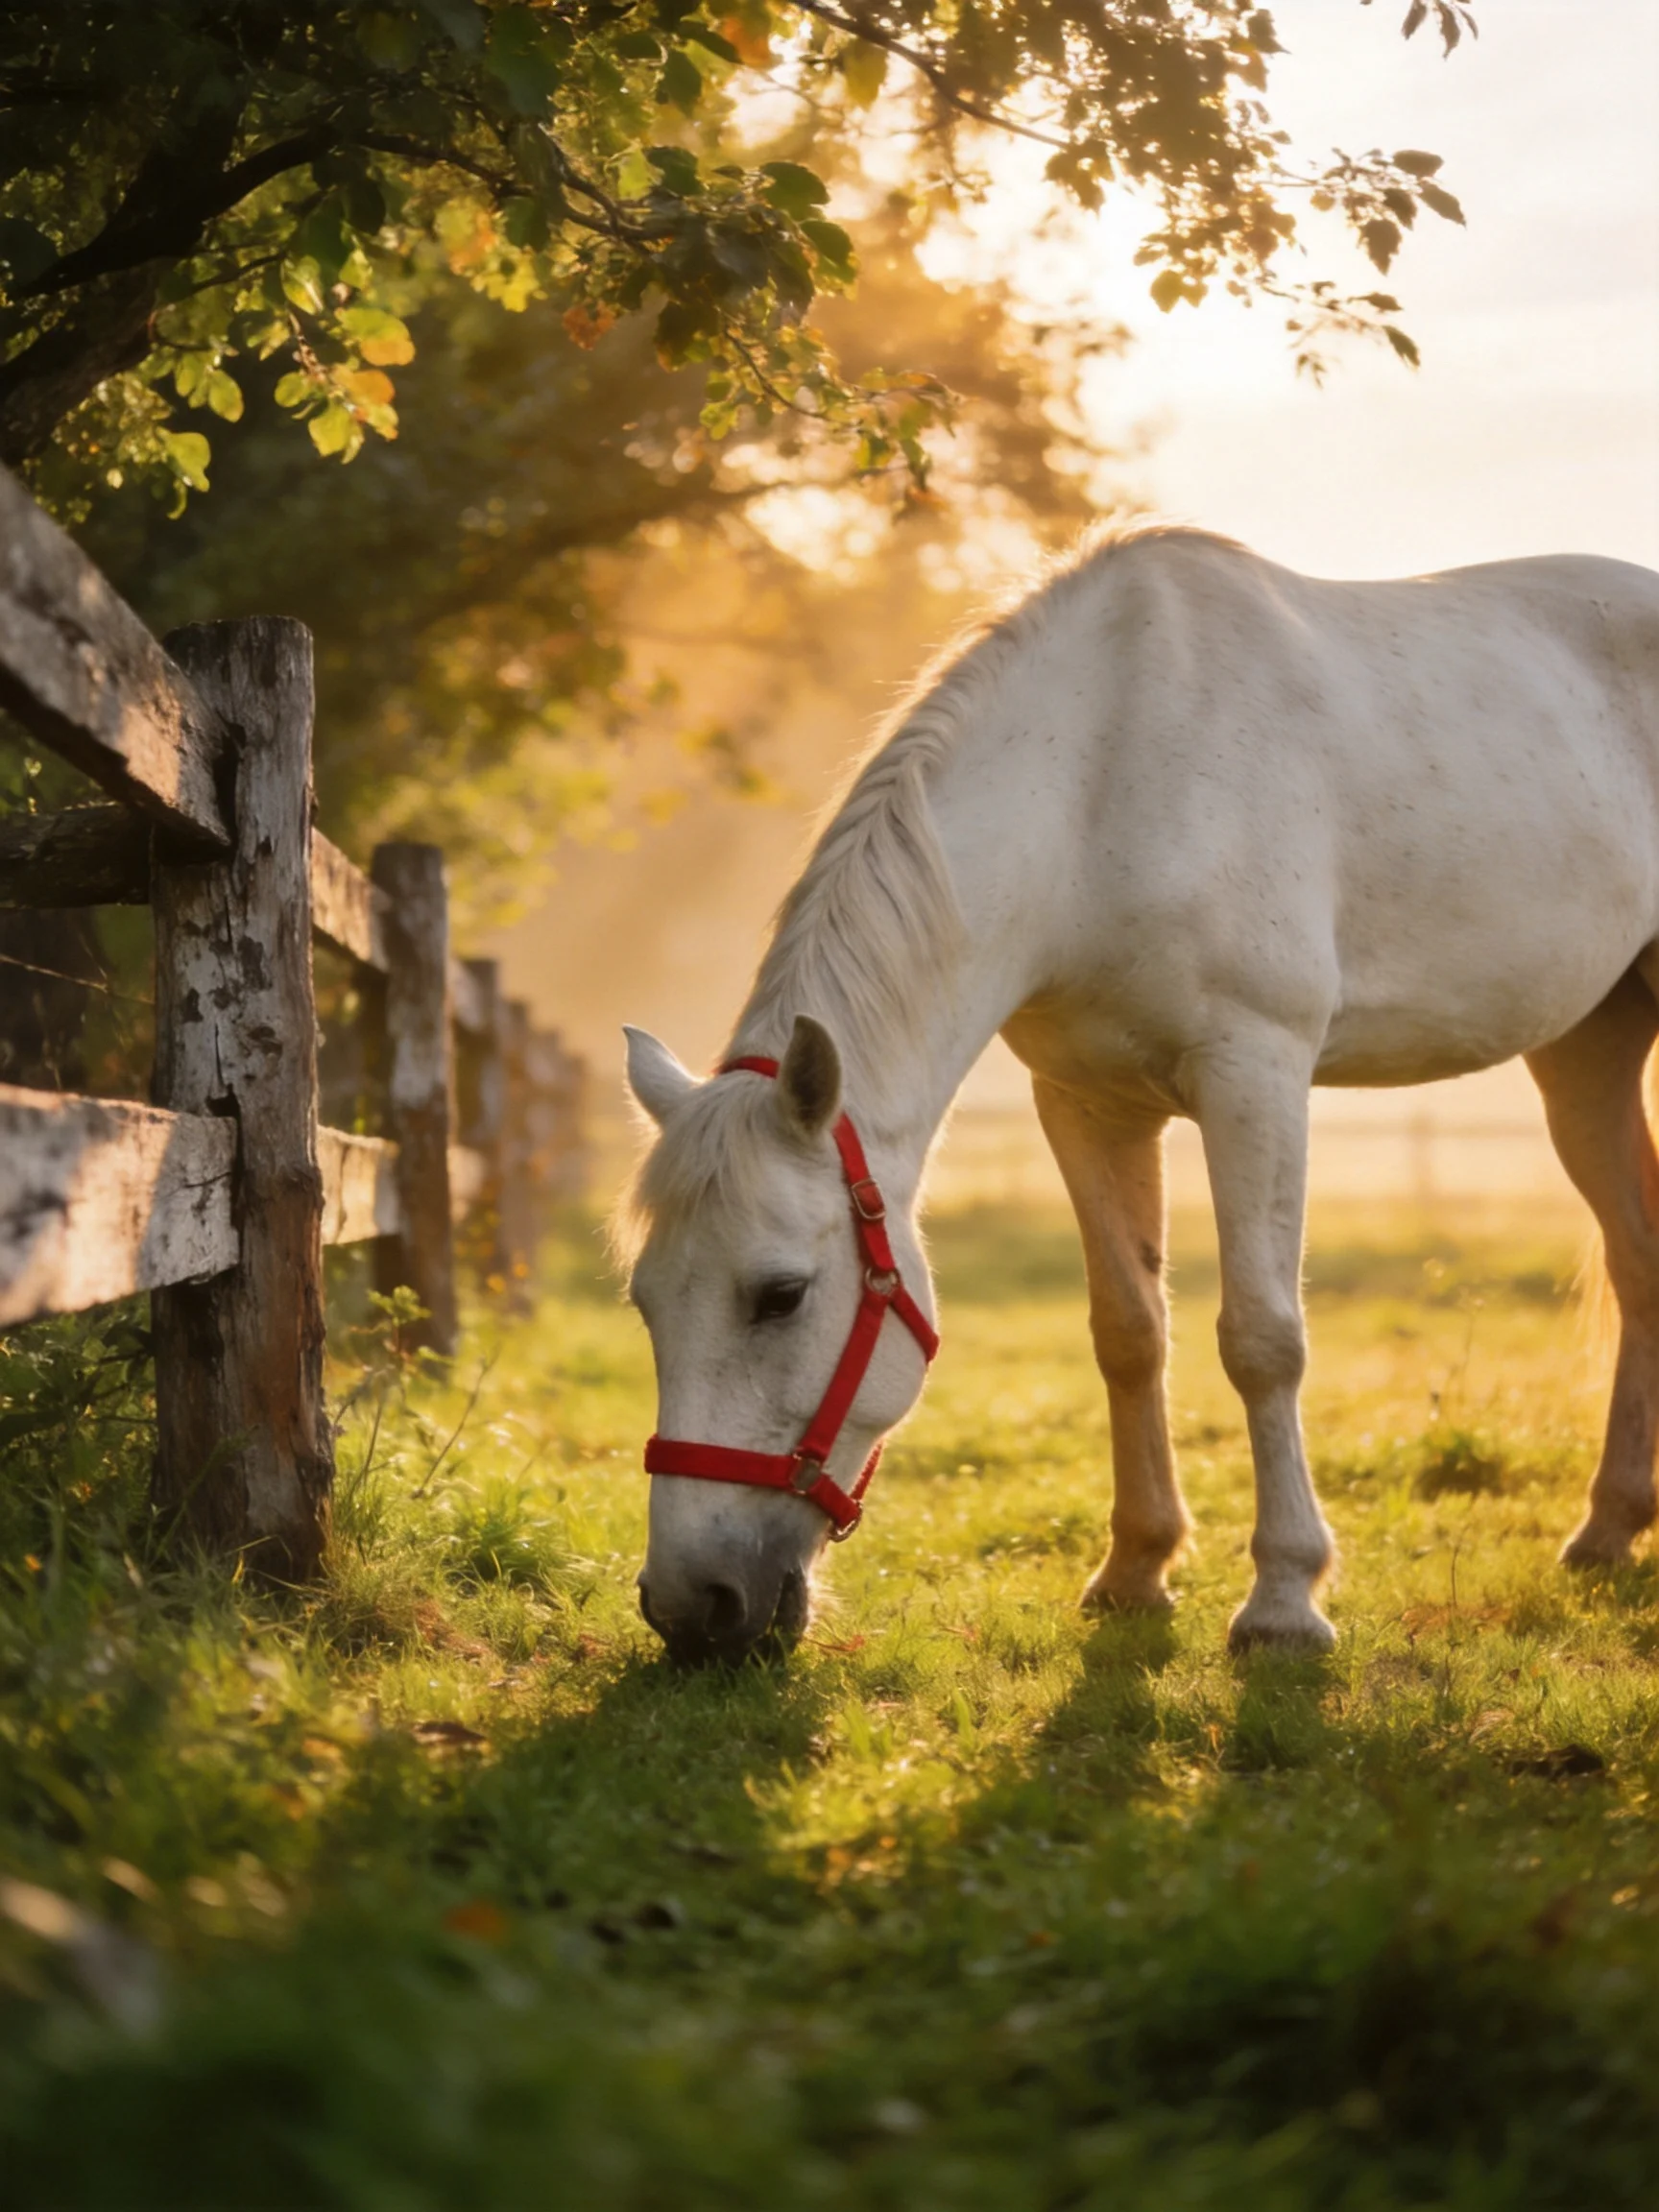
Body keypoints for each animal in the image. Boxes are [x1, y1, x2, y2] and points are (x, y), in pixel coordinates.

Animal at [618, 525, 1659, 1665]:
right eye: (644, 1299)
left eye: (781, 1296)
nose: (692, 1606)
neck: (1100, 786)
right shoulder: (1087, 1102)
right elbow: (1127, 1331)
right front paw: (1136, 1570)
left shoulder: (1256, 1074)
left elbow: (1262, 1339)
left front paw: (1285, 1600)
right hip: (1588, 1052)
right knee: (1639, 1257)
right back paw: (1609, 1528)